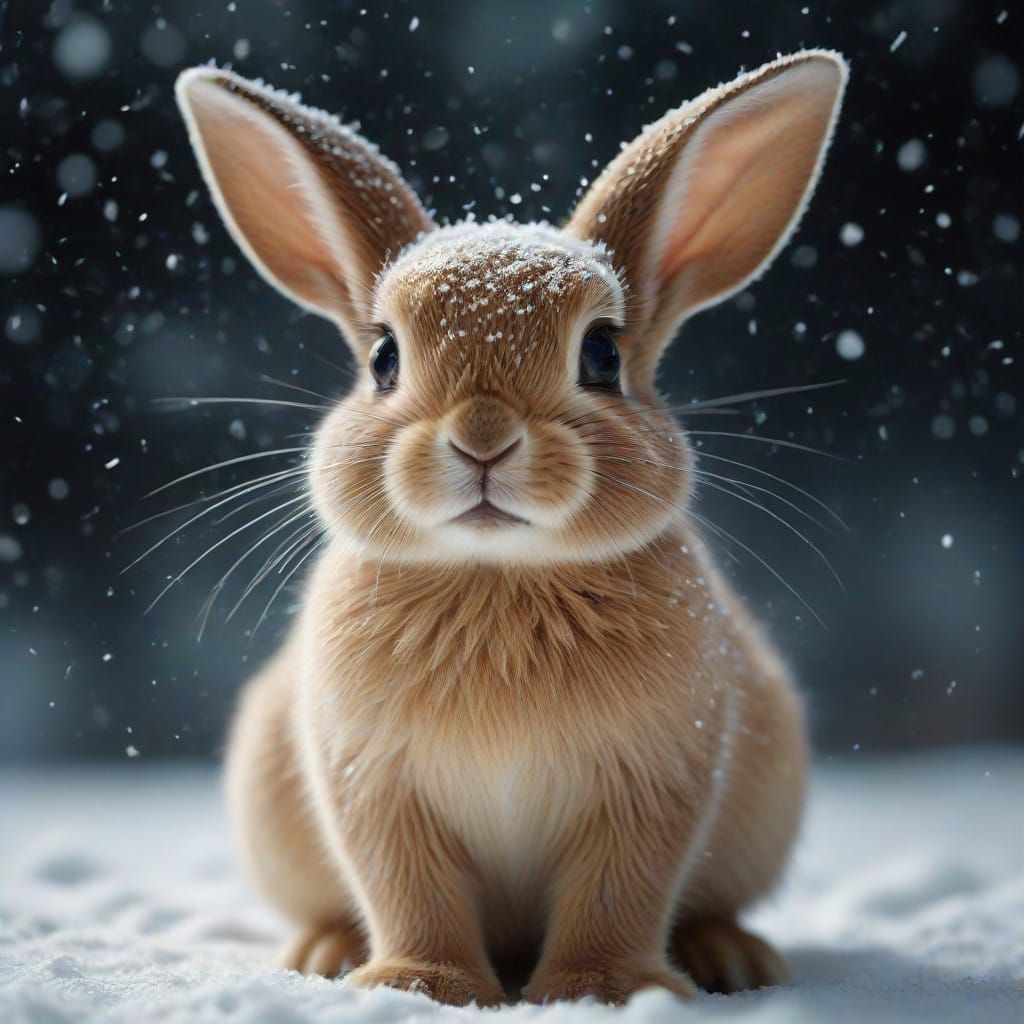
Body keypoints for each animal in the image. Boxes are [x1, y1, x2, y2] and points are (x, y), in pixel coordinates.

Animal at [175, 49, 847, 1006]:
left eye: (602, 354)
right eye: (383, 358)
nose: (483, 436)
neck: (496, 573)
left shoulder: (652, 782)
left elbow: (621, 889)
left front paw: (600, 990)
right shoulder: (373, 786)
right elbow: (407, 887)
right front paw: (419, 987)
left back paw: (732, 958)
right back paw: (324, 953)